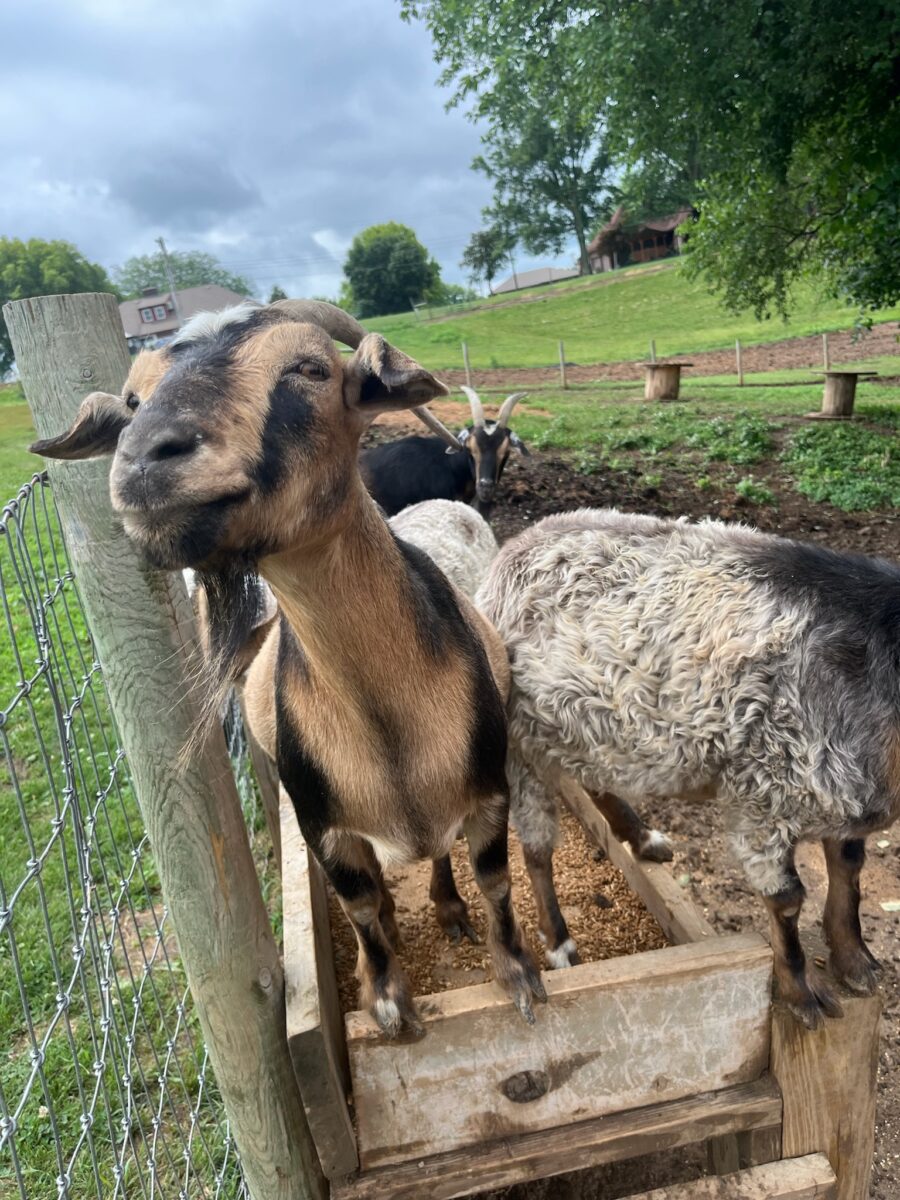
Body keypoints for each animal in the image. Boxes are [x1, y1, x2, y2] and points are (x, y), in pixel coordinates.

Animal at [477, 508, 897, 1028]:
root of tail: (509, 553)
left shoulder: (843, 785)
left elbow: (849, 868)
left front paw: (857, 961)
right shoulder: (764, 793)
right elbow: (787, 898)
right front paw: (802, 995)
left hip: (584, 724)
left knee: (593, 779)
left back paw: (643, 839)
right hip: (521, 741)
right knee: (536, 849)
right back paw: (560, 944)